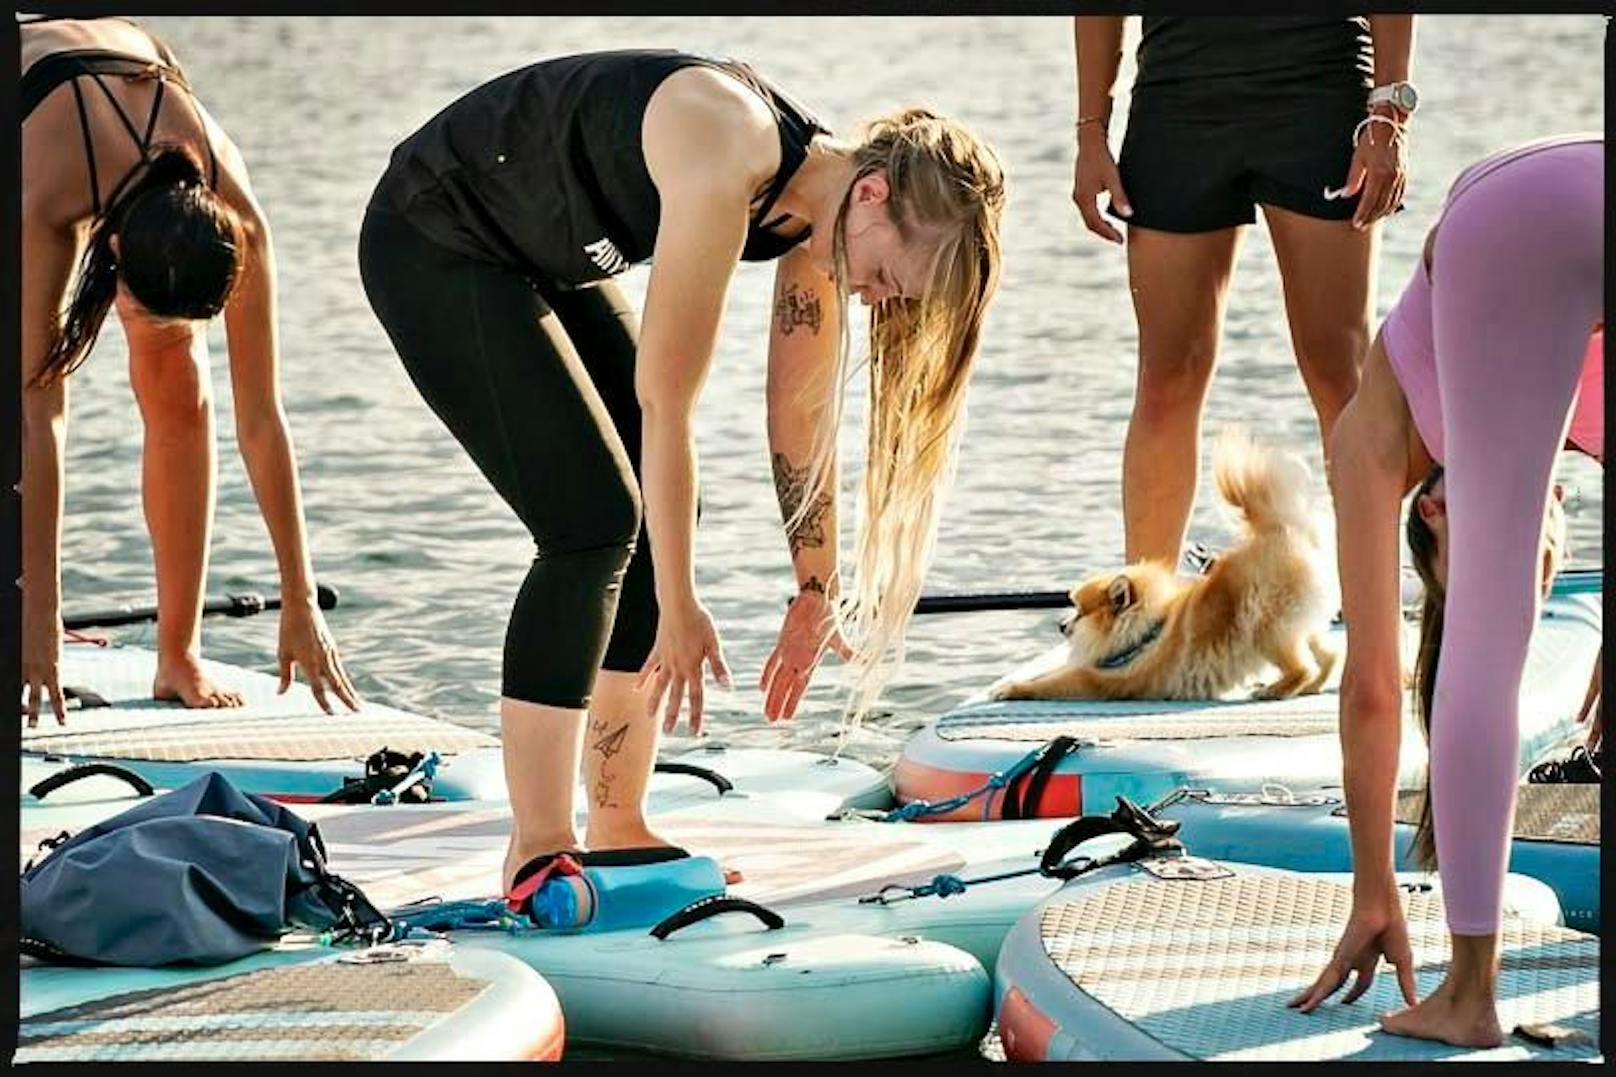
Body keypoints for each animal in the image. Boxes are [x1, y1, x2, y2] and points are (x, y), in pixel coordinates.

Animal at [982, 433, 1338, 701]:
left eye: (1080, 612)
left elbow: (1056, 680)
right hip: (1303, 623)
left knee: (1301, 666)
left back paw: (1277, 689)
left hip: (1266, 626)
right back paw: (1311, 686)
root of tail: (1282, 528)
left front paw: (1014, 688)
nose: (1060, 624)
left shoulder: (1103, 679)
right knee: (1328, 657)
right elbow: (1052, 672)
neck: (1148, 630)